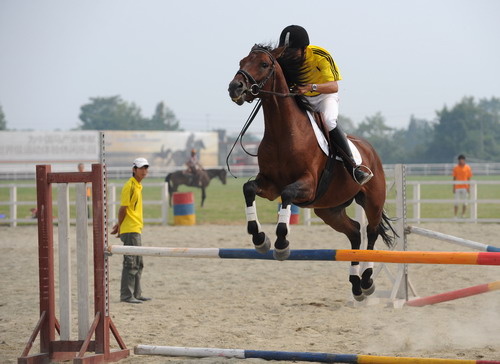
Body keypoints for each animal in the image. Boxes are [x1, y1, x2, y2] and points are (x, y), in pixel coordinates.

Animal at [229, 44, 396, 302]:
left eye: (264, 65)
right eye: (242, 61)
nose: (234, 87)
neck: (284, 132)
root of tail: (371, 151)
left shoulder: (307, 185)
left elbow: (287, 195)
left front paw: (281, 244)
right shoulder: (269, 185)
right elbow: (249, 189)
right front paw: (260, 239)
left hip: (373, 201)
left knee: (371, 232)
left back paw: (367, 281)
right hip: (329, 210)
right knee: (355, 233)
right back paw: (356, 285)